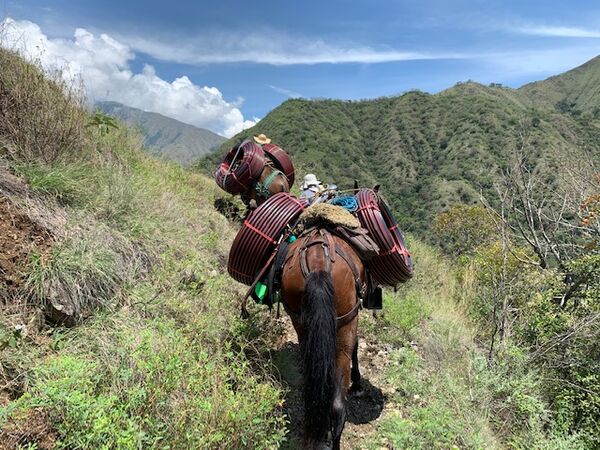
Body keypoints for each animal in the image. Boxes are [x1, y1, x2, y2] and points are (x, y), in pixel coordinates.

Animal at [282, 229, 366, 450]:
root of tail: (318, 264)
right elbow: (356, 344)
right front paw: (357, 384)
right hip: (346, 323)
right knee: (337, 407)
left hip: (300, 320)